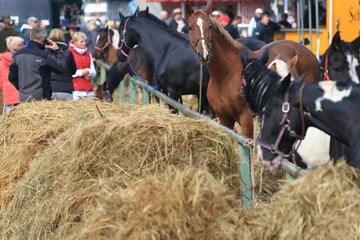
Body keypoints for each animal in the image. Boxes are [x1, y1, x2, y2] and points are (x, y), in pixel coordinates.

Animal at [186, 0, 320, 138]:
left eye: (210, 27)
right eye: (190, 27)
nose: (204, 53)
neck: (225, 76)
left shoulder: (246, 118)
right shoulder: (224, 119)